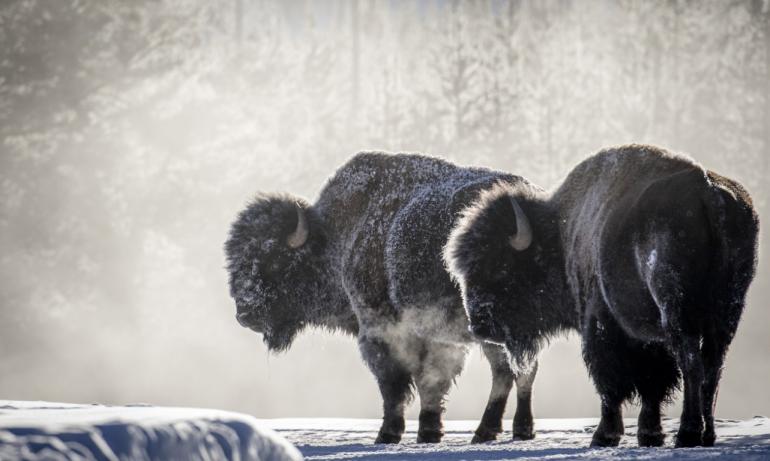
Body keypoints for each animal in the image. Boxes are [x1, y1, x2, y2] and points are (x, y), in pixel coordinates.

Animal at [225, 152, 541, 444]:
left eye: (274, 260)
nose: (245, 314)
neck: (338, 237)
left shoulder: (384, 330)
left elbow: (401, 384)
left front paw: (393, 434)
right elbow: (427, 381)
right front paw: (427, 431)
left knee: (512, 370)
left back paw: (500, 430)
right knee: (511, 370)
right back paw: (502, 431)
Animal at [444, 144, 759, 448]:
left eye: (501, 267)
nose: (479, 325)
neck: (560, 234)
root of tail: (709, 192)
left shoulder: (601, 323)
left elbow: (610, 380)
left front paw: (604, 435)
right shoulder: (646, 337)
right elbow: (652, 384)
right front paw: (649, 434)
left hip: (677, 309)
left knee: (691, 361)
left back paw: (688, 434)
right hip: (727, 314)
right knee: (713, 368)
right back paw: (707, 435)